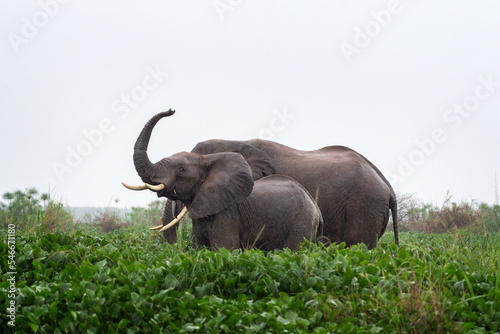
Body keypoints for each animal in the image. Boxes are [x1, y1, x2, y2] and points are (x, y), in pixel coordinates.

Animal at [123, 111, 322, 252]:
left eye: (181, 169)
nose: (171, 110)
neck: (207, 161)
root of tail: (317, 210)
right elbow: (198, 251)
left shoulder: (228, 213)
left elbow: (224, 250)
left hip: (301, 225)